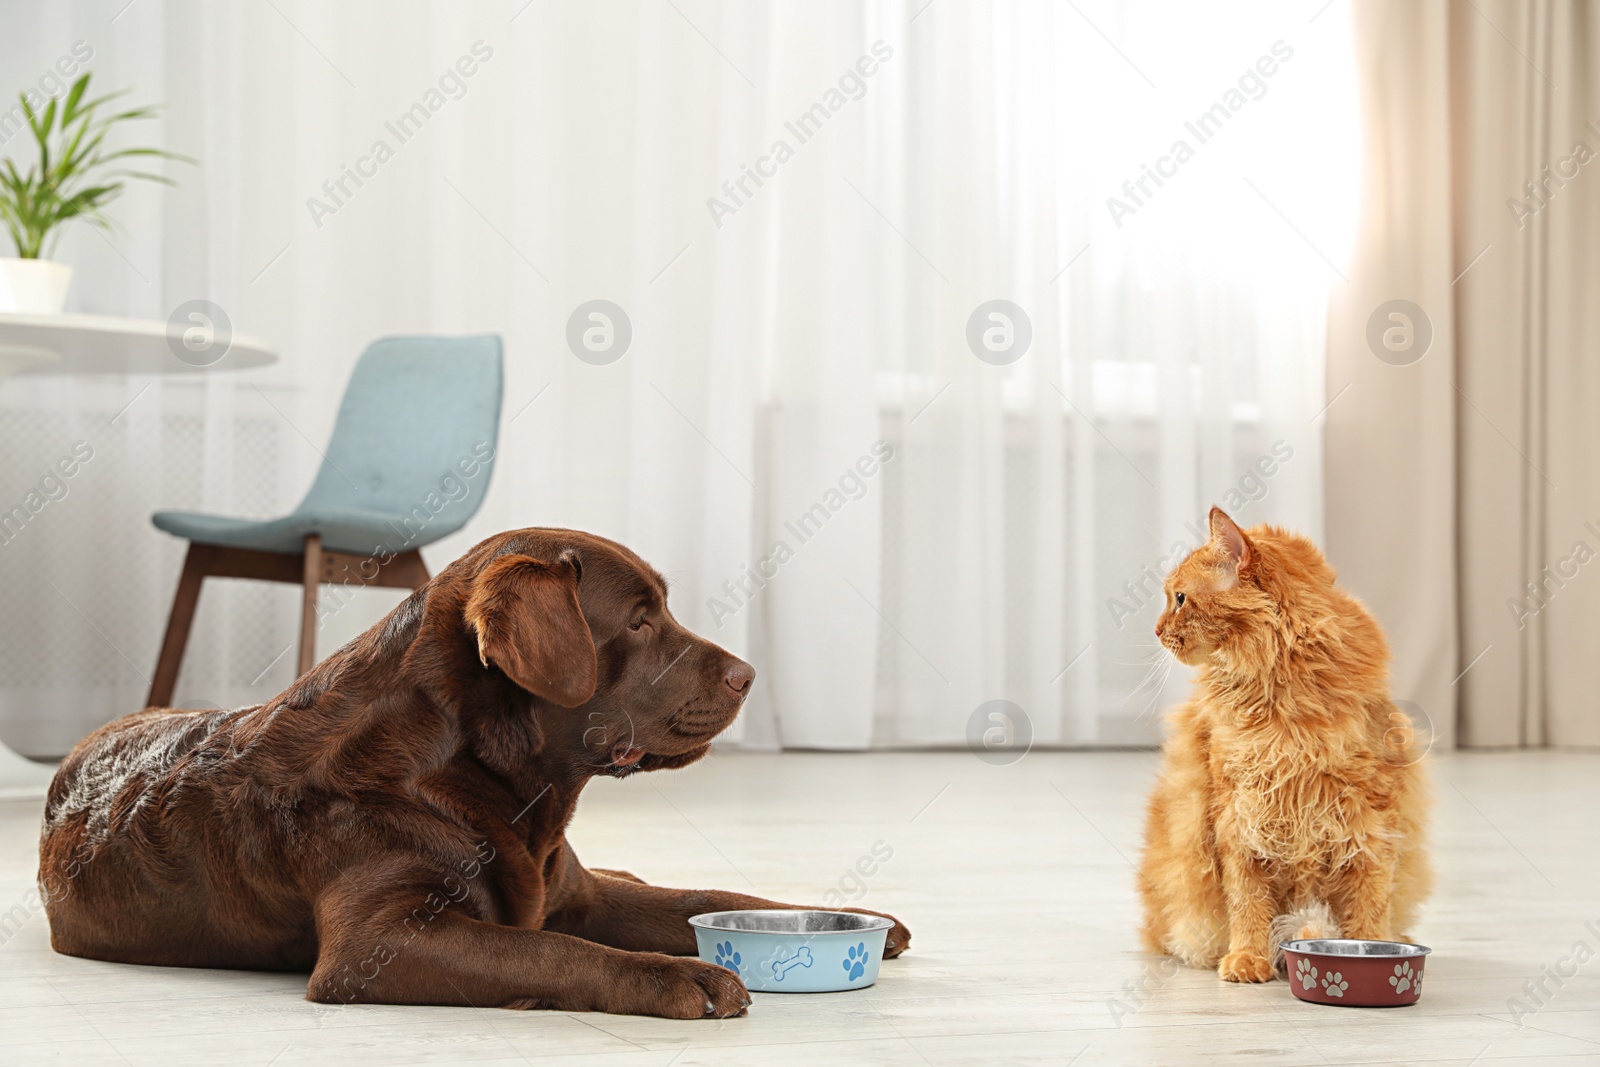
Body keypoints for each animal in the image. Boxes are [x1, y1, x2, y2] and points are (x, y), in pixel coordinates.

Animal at [1132, 508, 1433, 985]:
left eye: (1179, 598)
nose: (1158, 630)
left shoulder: (1369, 817)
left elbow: (1369, 900)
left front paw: (1375, 949)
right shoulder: (1238, 815)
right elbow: (1247, 899)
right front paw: (1247, 958)